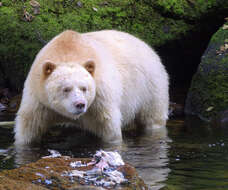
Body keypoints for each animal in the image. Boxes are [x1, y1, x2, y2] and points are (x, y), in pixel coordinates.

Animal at [13, 29, 168, 145]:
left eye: (84, 88)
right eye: (66, 89)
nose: (80, 104)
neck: (67, 52)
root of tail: (148, 47)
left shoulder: (99, 98)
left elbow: (109, 128)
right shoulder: (38, 97)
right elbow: (28, 127)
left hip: (149, 85)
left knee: (152, 117)